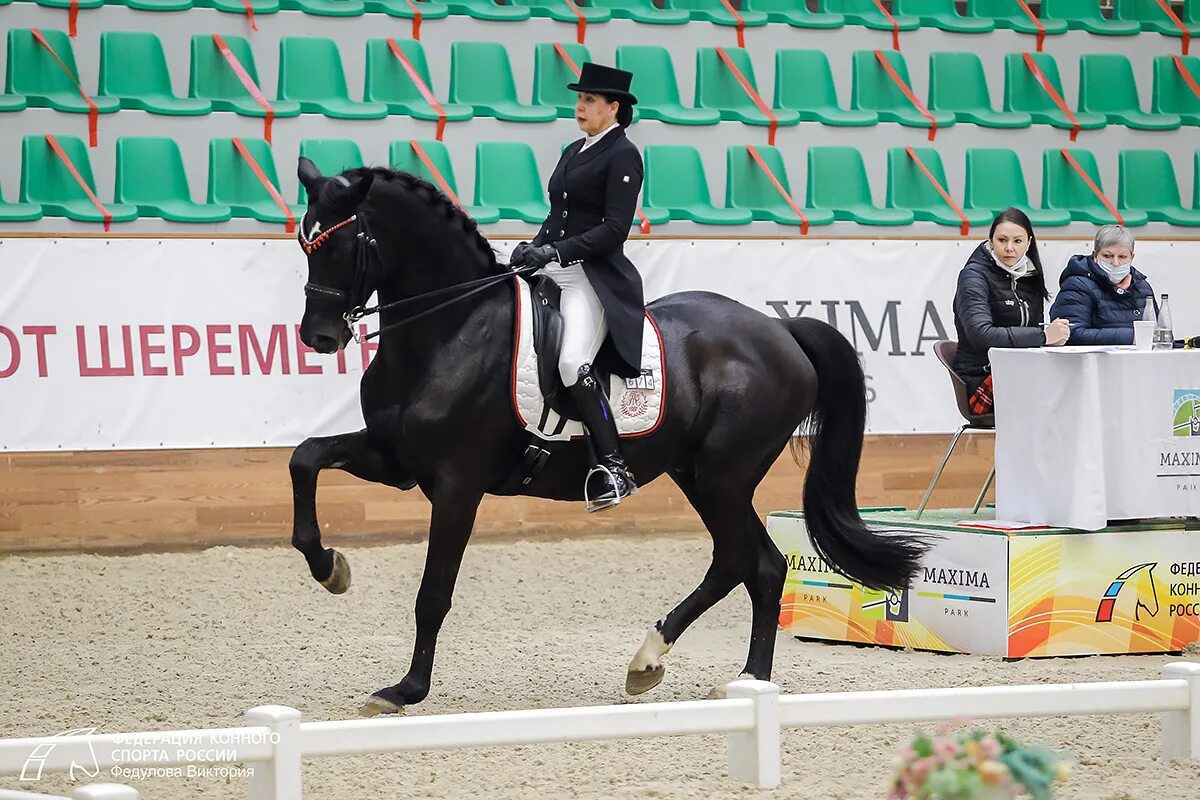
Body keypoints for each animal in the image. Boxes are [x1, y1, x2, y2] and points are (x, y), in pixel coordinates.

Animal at [288, 159, 926, 714]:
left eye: (340, 245)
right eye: (304, 244)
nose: (318, 337)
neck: (449, 329)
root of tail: (779, 328)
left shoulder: (455, 486)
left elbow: (433, 592)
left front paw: (406, 689)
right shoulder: (394, 459)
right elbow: (305, 458)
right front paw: (329, 568)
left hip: (724, 475)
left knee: (750, 562)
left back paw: (728, 677)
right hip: (698, 475)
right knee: (749, 563)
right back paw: (679, 667)